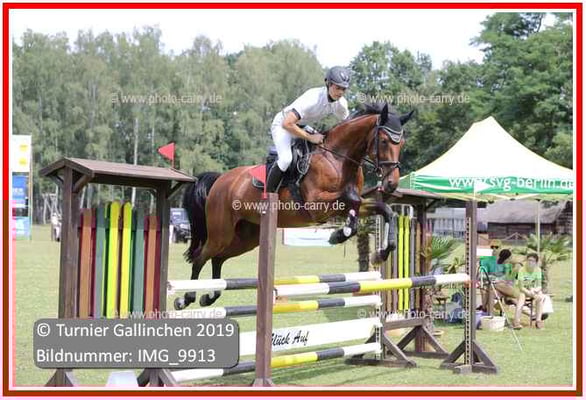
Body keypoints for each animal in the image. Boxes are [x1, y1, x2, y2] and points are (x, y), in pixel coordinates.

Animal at [175, 103, 413, 310]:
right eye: (384, 141)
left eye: (401, 143)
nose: (391, 184)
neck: (338, 158)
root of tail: (220, 180)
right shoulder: (316, 204)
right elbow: (351, 198)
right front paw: (338, 235)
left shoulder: (348, 206)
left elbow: (386, 211)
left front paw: (381, 253)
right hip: (221, 232)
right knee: (200, 257)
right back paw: (186, 298)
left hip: (245, 238)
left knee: (217, 258)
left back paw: (209, 296)